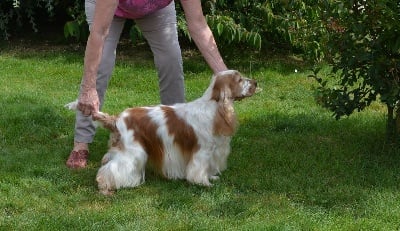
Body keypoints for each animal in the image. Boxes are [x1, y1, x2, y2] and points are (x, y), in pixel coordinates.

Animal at [65, 69, 256, 194]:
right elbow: (198, 170)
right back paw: (107, 186)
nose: (255, 82)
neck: (214, 107)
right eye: (240, 79)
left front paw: (212, 177)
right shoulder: (202, 151)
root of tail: (117, 118)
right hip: (133, 152)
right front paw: (204, 183)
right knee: (112, 169)